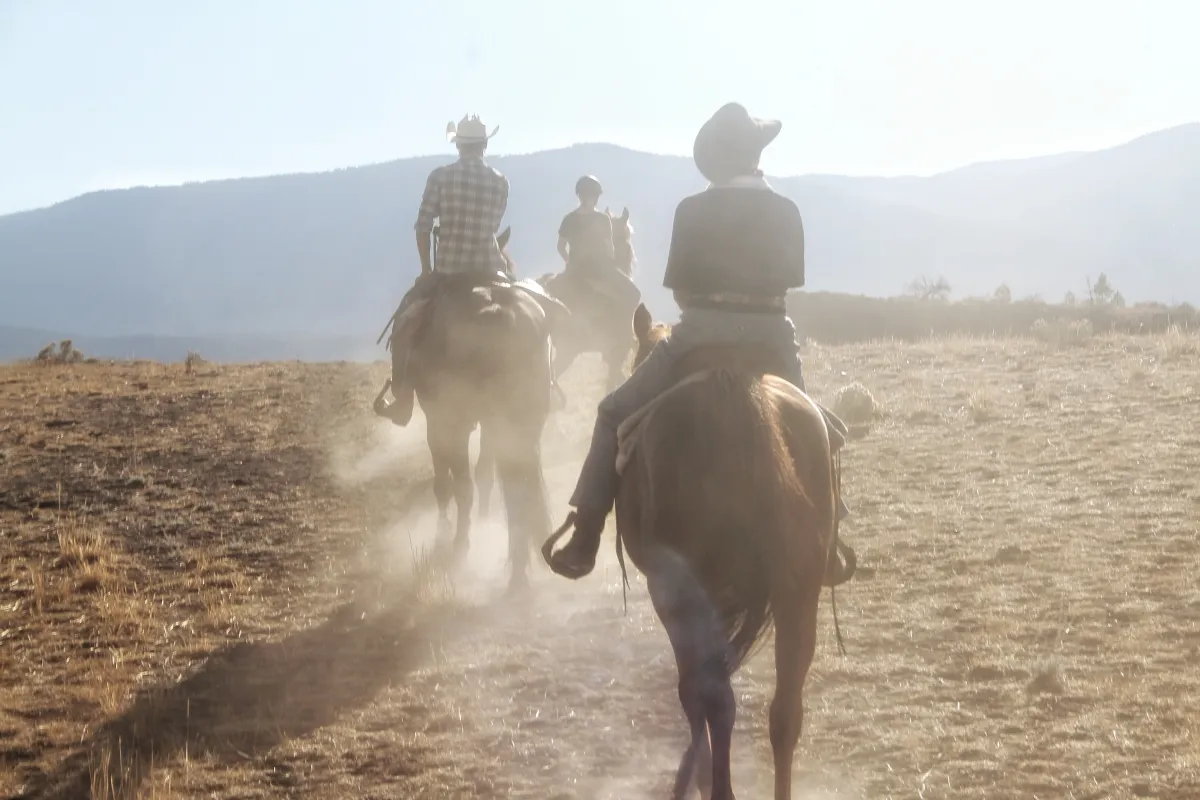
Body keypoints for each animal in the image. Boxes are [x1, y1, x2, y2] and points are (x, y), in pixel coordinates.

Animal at [374, 227, 556, 592]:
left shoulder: (439, 422)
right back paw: (518, 571)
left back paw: (464, 546)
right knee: (518, 487)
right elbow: (485, 472)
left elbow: (446, 482)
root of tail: (500, 315)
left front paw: (445, 531)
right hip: (522, 421)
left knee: (464, 486)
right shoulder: (488, 426)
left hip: (455, 420)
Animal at [544, 303, 854, 796]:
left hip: (684, 594)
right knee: (785, 709)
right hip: (797, 593)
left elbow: (695, 693)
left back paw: (718, 787)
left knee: (712, 697)